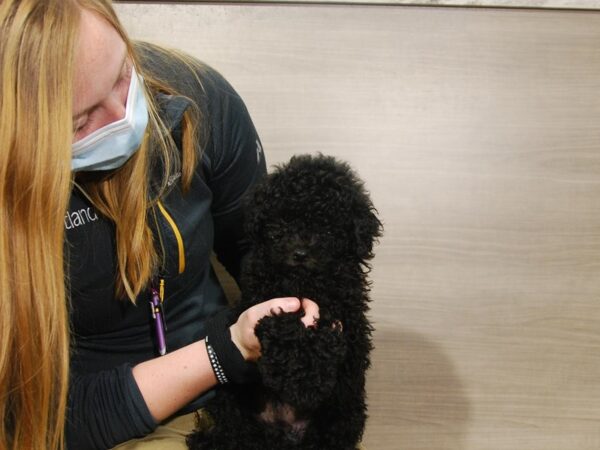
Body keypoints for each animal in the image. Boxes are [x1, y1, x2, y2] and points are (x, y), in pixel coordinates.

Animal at [188, 154, 382, 450]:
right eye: (283, 222)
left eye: (327, 228)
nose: (300, 253)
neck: (301, 282)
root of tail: (283, 435)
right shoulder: (260, 299)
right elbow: (285, 323)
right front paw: (299, 379)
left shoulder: (343, 310)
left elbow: (322, 331)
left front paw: (305, 382)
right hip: (228, 396)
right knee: (236, 432)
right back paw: (207, 440)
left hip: (344, 411)